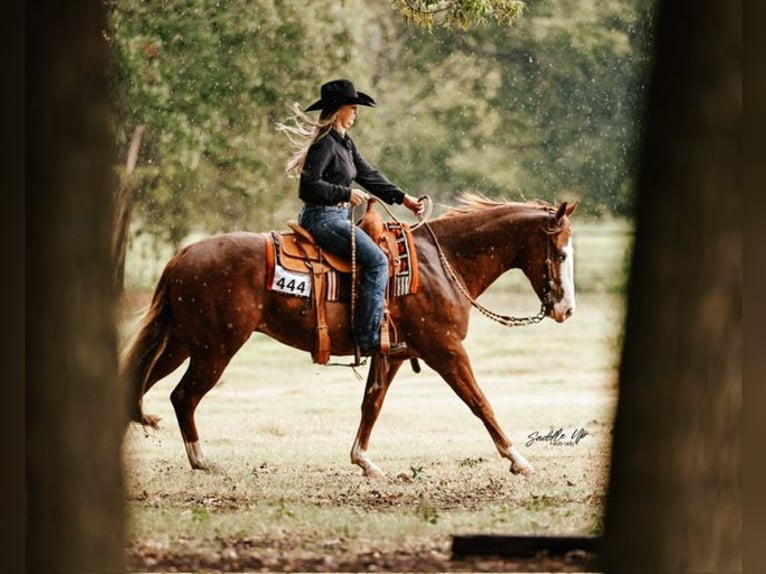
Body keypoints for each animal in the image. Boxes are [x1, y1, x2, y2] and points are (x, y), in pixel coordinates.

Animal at [122, 194, 577, 477]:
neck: (442, 262)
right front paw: (518, 459)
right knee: (184, 397)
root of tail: (183, 255)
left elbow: (371, 405)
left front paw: (364, 462)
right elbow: (480, 402)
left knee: (141, 386)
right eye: (559, 254)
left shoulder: (392, 354)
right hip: (215, 348)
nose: (566, 309)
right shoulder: (445, 350)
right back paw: (202, 461)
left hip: (181, 343)